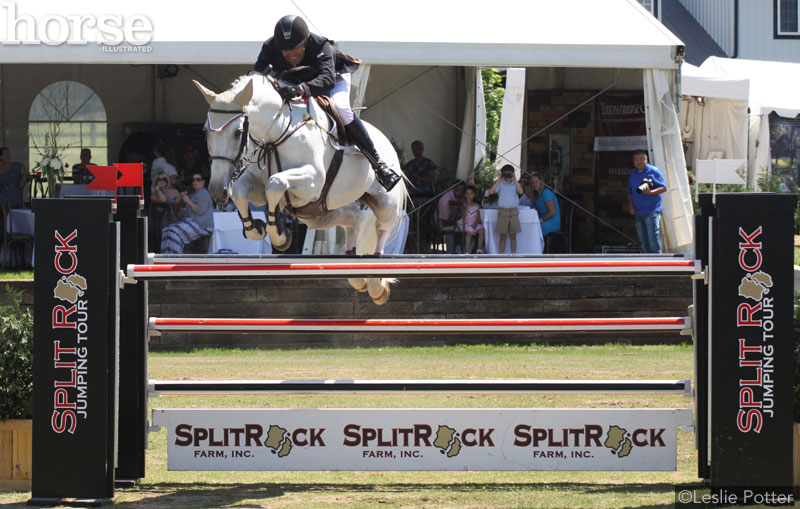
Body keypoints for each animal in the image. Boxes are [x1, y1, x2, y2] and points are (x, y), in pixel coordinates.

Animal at [193, 74, 406, 304]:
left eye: (238, 132)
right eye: (205, 131)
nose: (217, 190)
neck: (276, 132)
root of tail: (387, 141)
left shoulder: (313, 181)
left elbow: (275, 183)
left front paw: (278, 235)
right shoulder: (257, 185)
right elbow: (242, 192)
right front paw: (258, 228)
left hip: (384, 201)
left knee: (382, 228)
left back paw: (376, 284)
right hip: (317, 213)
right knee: (352, 217)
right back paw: (356, 276)